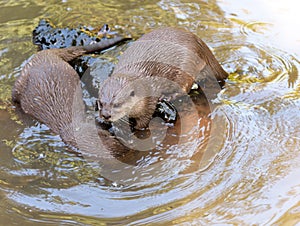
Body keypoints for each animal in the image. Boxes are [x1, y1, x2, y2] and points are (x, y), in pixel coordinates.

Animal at [97, 26, 229, 129]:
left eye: (117, 104)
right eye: (101, 103)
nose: (106, 115)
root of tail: (201, 44)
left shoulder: (149, 98)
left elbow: (144, 120)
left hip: (186, 67)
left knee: (184, 88)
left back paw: (167, 97)